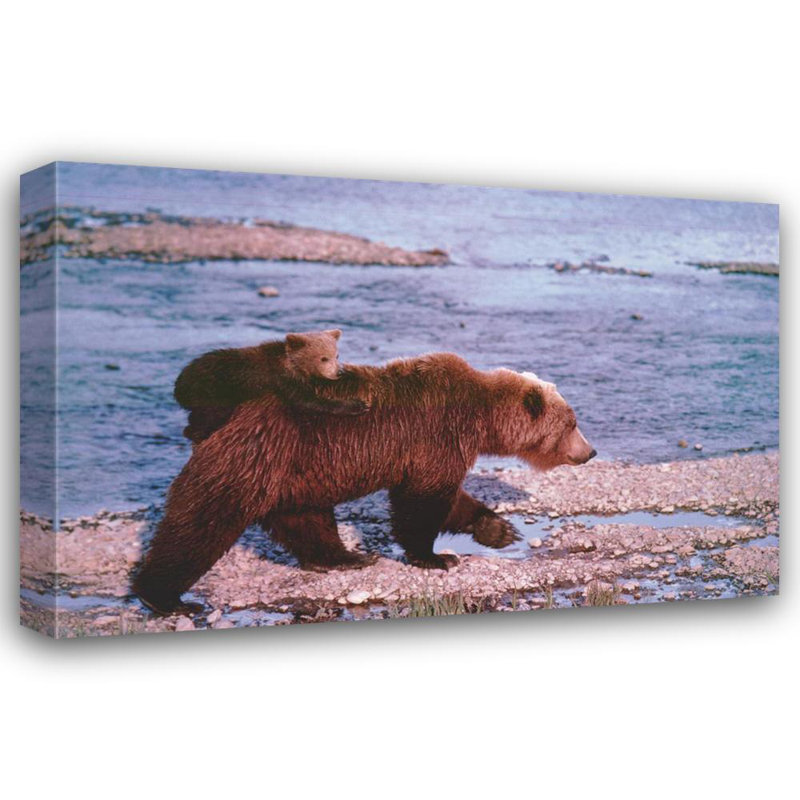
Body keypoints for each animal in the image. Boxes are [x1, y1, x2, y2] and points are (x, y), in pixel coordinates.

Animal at [133, 353, 595, 614]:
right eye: (571, 422)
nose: (590, 452)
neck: (480, 417)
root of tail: (210, 418)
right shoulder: (436, 434)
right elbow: (423, 501)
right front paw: (436, 557)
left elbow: (450, 498)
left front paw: (499, 529)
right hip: (256, 455)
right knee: (201, 523)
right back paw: (165, 597)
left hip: (296, 474)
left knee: (306, 519)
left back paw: (345, 558)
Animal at [174, 329, 369, 444]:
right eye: (323, 358)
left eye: (337, 355)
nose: (337, 372)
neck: (291, 365)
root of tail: (179, 385)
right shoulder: (282, 379)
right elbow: (308, 402)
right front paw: (356, 404)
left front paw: (351, 373)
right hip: (212, 391)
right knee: (208, 415)